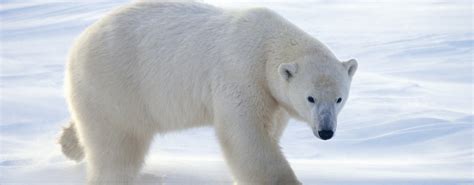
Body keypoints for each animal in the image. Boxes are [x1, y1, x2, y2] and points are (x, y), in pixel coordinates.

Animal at [58, 1, 356, 185]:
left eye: (339, 98)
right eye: (311, 98)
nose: (326, 131)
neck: (268, 45)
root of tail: (77, 44)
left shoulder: (273, 96)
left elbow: (269, 129)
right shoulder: (241, 75)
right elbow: (246, 137)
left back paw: (68, 142)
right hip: (116, 84)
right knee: (117, 146)